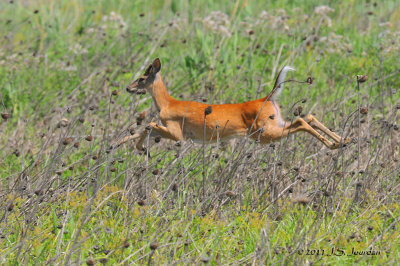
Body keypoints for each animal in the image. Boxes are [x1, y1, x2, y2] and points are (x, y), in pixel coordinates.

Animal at [115, 58, 350, 152]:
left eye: (142, 78)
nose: (127, 88)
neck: (167, 103)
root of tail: (267, 98)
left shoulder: (177, 132)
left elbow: (149, 125)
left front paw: (139, 147)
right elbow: (144, 129)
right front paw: (125, 145)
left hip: (262, 133)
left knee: (301, 121)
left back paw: (334, 144)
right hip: (273, 124)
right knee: (307, 116)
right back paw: (342, 141)